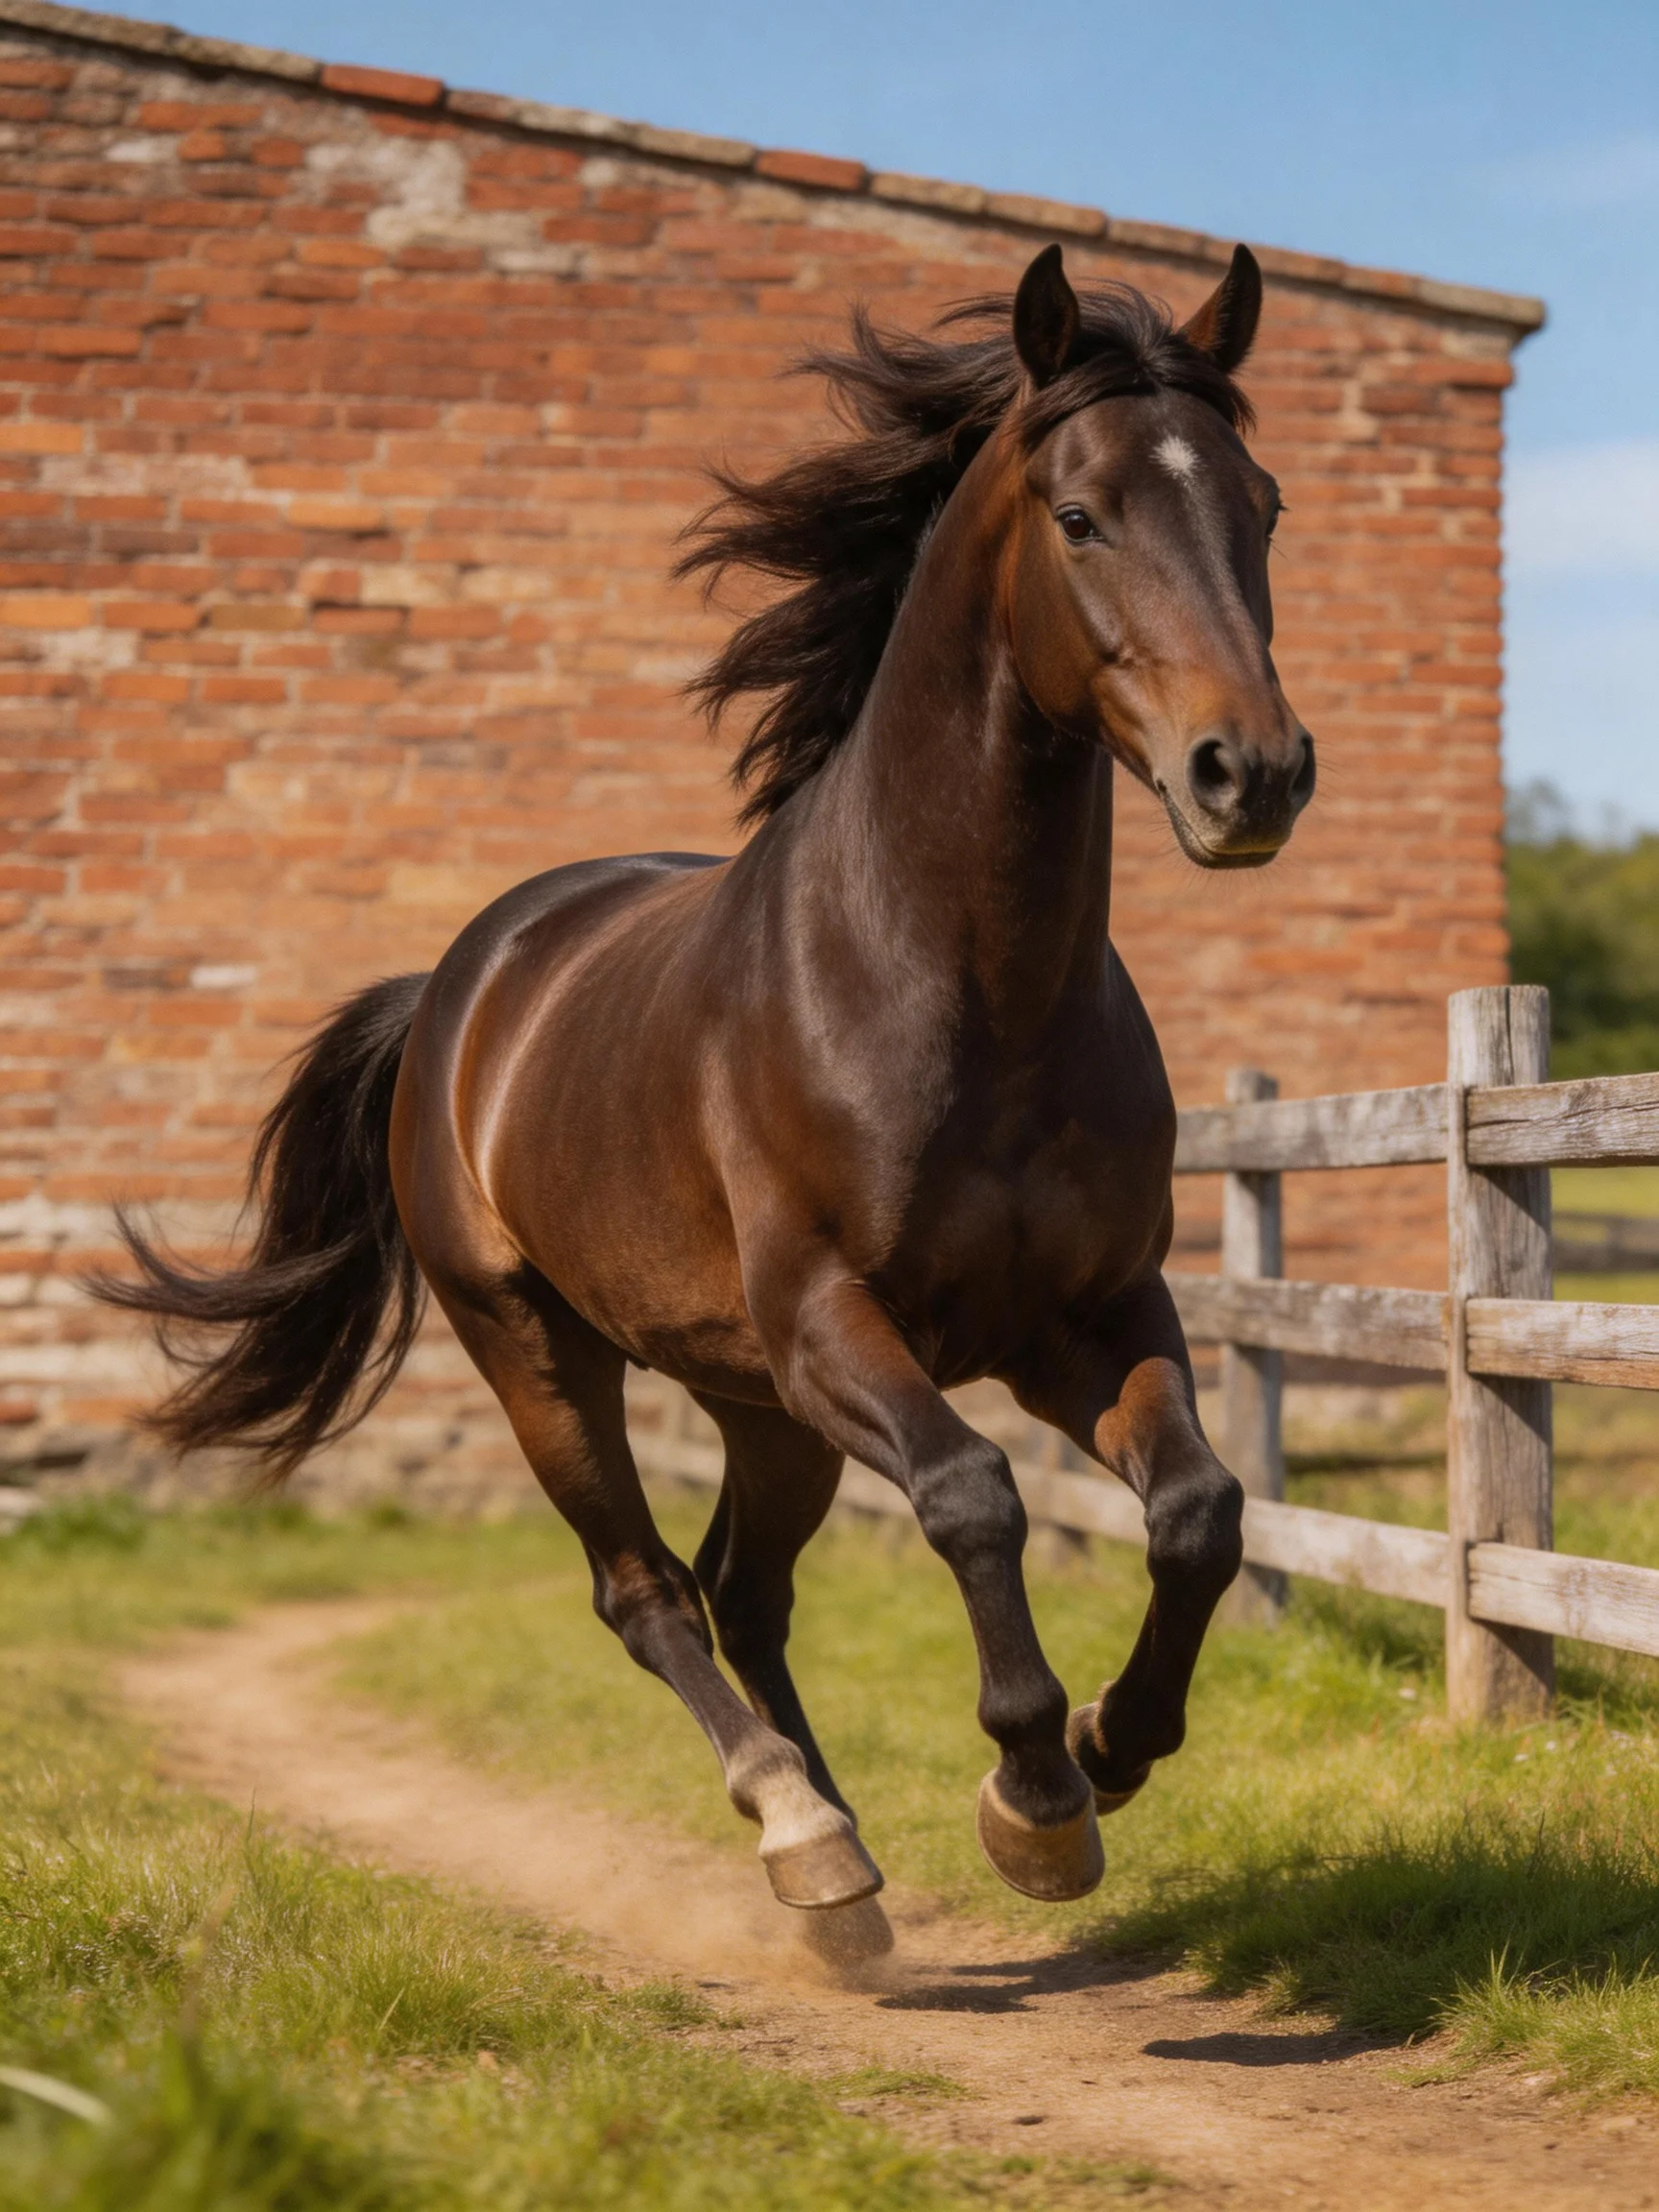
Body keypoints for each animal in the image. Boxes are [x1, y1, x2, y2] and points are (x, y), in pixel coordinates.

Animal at [99, 242, 1313, 1932]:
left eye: (1262, 506)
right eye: (1081, 516)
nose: (1250, 775)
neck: (960, 994)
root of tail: (459, 991)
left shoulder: (1086, 1316)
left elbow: (1200, 1513)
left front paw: (1105, 1747)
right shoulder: (832, 1323)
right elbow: (973, 1497)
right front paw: (1034, 1794)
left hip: (756, 1400)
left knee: (747, 1586)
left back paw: (848, 1849)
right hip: (547, 1354)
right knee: (649, 1589)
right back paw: (801, 1833)